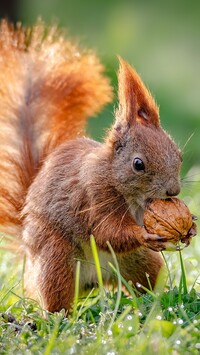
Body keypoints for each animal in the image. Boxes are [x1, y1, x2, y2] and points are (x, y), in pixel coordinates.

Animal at [0, 20, 182, 312]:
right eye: (138, 164)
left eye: (178, 154)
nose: (173, 191)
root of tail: (96, 278)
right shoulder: (92, 195)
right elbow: (106, 231)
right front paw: (144, 235)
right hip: (57, 259)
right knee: (56, 295)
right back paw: (58, 315)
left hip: (140, 262)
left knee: (144, 280)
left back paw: (156, 299)